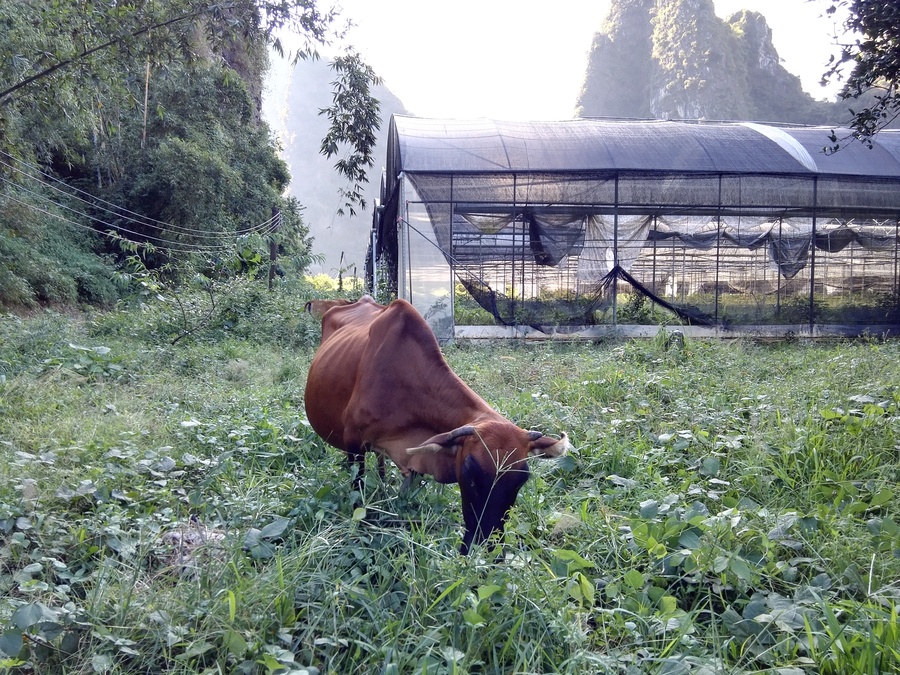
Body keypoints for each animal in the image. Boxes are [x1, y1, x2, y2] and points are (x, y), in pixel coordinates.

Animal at [302, 296, 568, 556]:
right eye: (469, 475)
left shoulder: (416, 457)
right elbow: (357, 492)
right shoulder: (353, 442)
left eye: (521, 480)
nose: (487, 549)